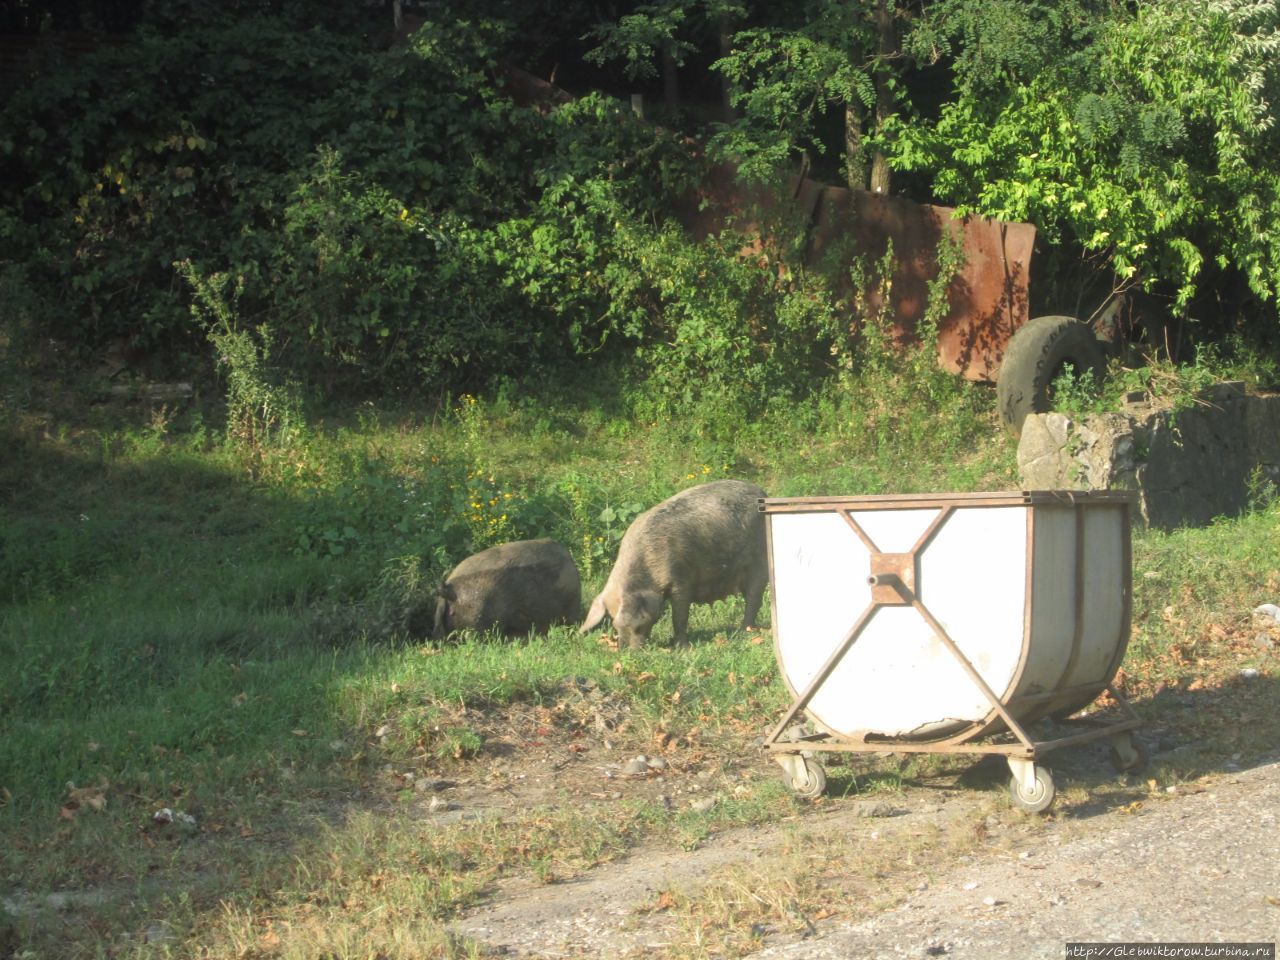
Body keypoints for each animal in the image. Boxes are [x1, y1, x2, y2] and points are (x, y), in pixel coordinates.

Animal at [583, 478, 768, 647]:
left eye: (639, 626)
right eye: (615, 624)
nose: (628, 651)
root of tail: (762, 492)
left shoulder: (681, 579)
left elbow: (679, 615)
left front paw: (681, 647)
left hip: (759, 563)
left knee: (754, 598)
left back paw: (744, 631)